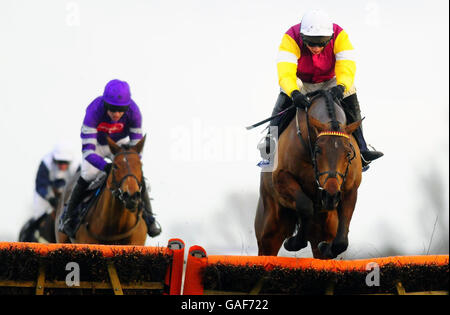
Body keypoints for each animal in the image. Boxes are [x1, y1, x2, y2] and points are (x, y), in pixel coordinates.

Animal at [255, 90, 364, 260]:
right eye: (318, 150)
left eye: (348, 153)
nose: (330, 195)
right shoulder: (282, 177)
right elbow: (304, 205)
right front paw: (293, 242)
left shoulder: (350, 190)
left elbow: (341, 241)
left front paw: (327, 247)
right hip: (270, 227)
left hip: (323, 225)